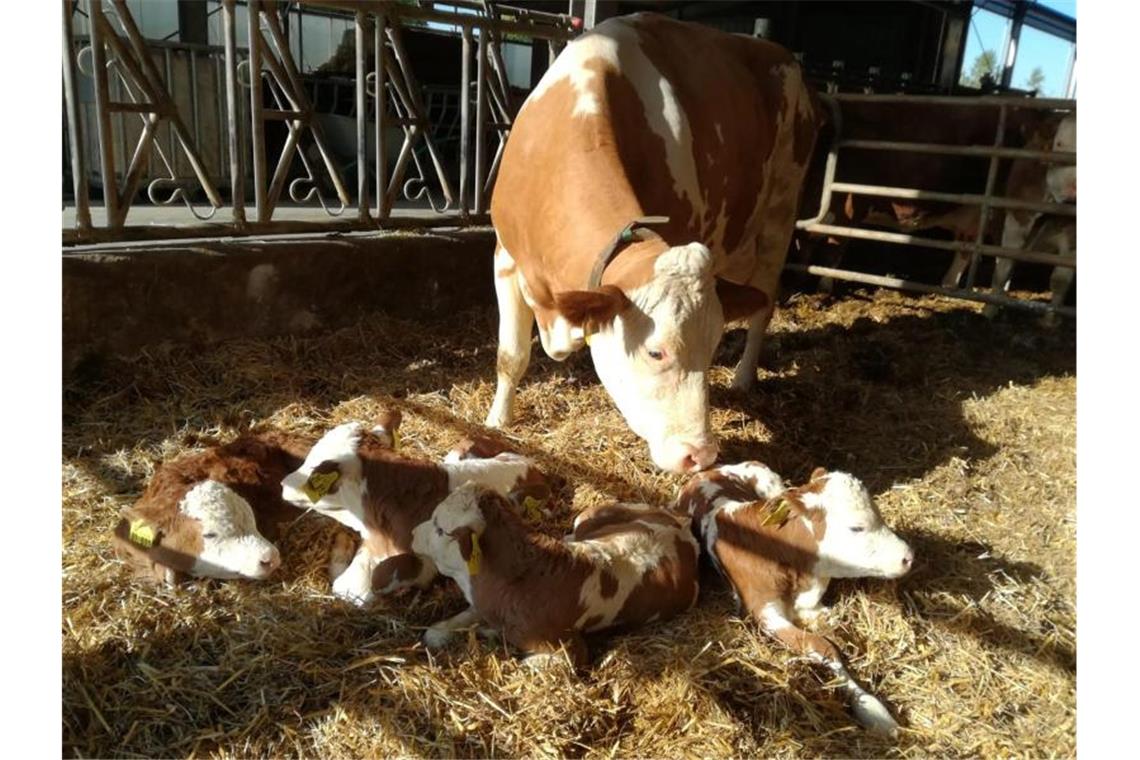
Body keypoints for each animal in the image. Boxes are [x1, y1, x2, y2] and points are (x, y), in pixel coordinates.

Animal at [405, 485, 697, 669]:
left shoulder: (571, 652)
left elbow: (528, 663)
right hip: (590, 516)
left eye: (440, 529)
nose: (412, 533)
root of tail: (679, 526)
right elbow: (438, 630)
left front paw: (490, 635)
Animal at [481, 13, 820, 476]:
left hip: (781, 213)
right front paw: (497, 420)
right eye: (655, 353)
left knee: (764, 306)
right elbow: (510, 355)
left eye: (712, 346)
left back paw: (744, 377)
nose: (700, 454)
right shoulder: (507, 257)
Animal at [674, 464, 916, 738]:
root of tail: (708, 471)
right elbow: (821, 646)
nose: (908, 556)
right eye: (856, 527)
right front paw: (872, 709)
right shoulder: (764, 612)